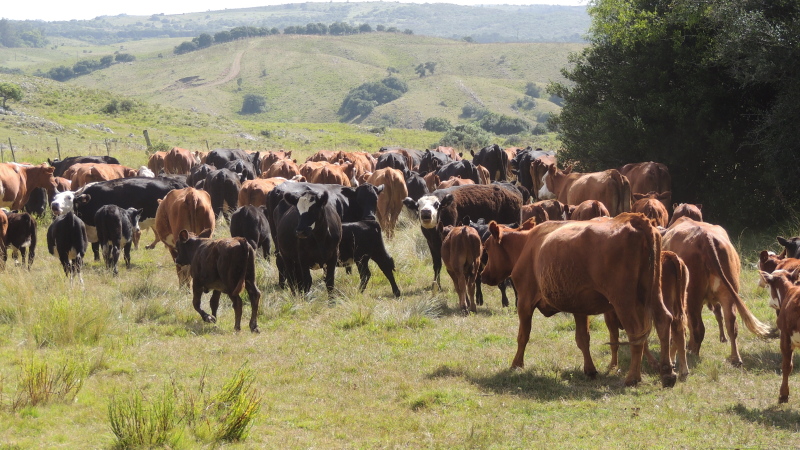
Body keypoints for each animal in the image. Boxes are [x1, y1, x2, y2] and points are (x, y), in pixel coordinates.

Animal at [480, 213, 678, 387]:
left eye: (487, 248)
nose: (483, 275)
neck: (527, 246)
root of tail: (635, 219)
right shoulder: (579, 306)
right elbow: (583, 339)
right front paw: (590, 370)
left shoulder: (524, 301)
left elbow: (523, 336)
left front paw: (516, 364)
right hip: (652, 293)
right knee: (663, 320)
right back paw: (667, 373)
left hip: (624, 301)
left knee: (636, 333)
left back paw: (633, 378)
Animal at [662, 217, 774, 365]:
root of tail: (706, 237)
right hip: (728, 294)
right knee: (731, 324)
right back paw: (735, 358)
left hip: (694, 296)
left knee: (698, 327)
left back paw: (694, 354)